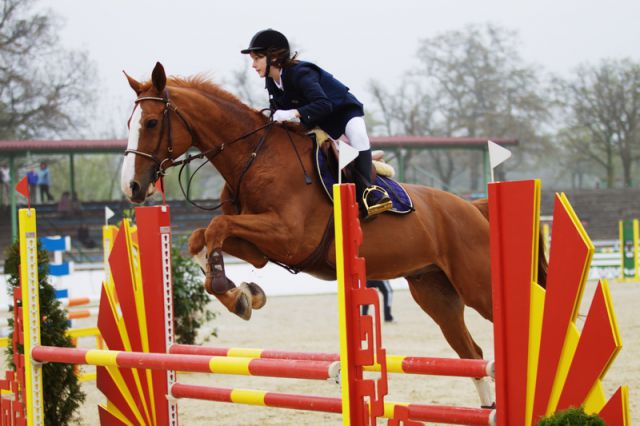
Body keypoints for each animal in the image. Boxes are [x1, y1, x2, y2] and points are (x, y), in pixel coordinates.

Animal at [122, 62, 548, 406]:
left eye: (152, 123)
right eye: (130, 124)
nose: (133, 188)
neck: (254, 157)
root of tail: (472, 207)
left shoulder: (289, 236)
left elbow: (216, 227)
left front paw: (234, 291)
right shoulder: (264, 246)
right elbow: (204, 235)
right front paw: (241, 293)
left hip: (479, 285)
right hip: (435, 293)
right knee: (472, 353)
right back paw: (489, 407)